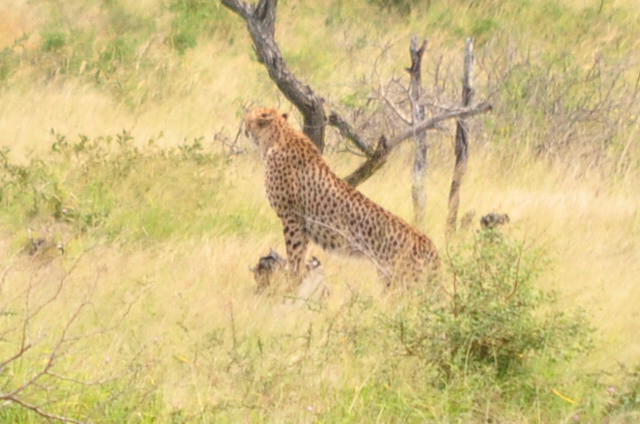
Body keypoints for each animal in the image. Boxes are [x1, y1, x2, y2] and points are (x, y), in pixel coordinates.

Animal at [245, 107, 440, 286]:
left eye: (250, 115)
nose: (244, 123)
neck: (277, 136)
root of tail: (429, 244)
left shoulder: (292, 218)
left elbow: (294, 253)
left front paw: (292, 279)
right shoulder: (303, 225)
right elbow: (301, 253)